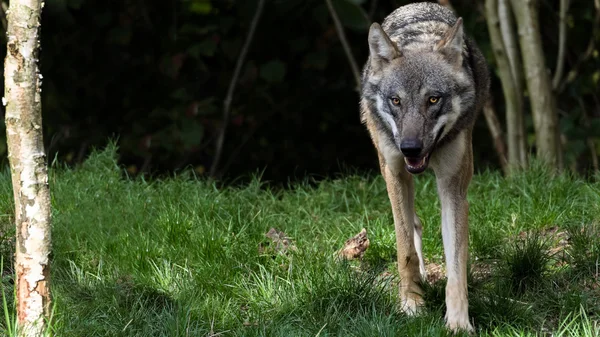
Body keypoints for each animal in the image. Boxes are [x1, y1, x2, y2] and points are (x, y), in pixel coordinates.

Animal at [358, 0, 490, 330]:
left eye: (433, 99)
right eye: (396, 101)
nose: (410, 147)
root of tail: (416, 5)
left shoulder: (453, 189)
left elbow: (456, 266)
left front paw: (458, 323)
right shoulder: (395, 172)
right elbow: (405, 251)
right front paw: (412, 304)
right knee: (412, 224)